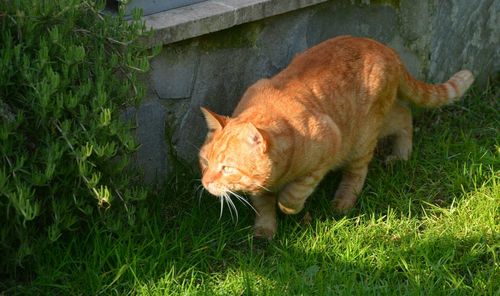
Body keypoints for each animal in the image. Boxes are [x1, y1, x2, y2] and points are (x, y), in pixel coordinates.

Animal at [198, 35, 472, 238]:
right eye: (205, 162)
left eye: (226, 168)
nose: (205, 181)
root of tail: (386, 49)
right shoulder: (262, 187)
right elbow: (263, 204)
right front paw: (265, 230)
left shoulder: (329, 145)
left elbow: (295, 192)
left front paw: (288, 206)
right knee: (404, 114)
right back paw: (401, 154)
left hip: (362, 137)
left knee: (362, 167)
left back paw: (350, 195)